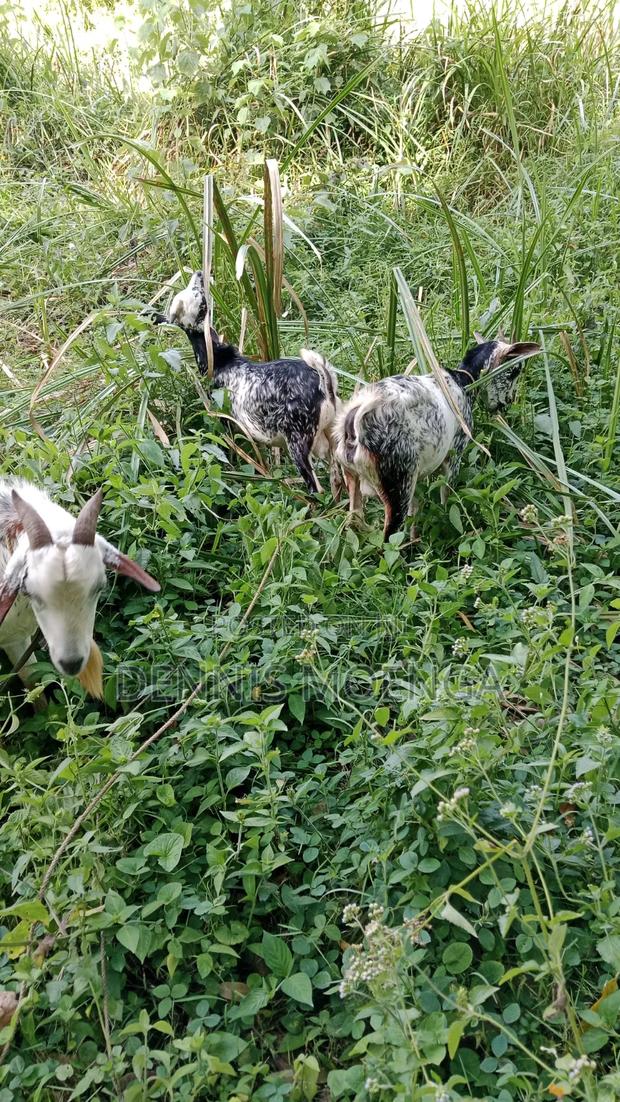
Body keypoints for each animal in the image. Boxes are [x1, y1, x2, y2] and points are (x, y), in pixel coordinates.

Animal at [153, 271, 341, 496]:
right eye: (197, 295)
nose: (199, 273)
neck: (220, 360)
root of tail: (323, 384)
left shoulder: (226, 420)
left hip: (299, 441)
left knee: (316, 486)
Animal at [334, 338, 541, 540]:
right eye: (515, 370)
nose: (507, 402)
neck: (461, 381)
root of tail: (355, 419)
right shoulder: (455, 454)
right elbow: (446, 496)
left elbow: (415, 509)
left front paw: (415, 536)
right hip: (397, 483)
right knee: (389, 536)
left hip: (356, 475)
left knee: (355, 519)